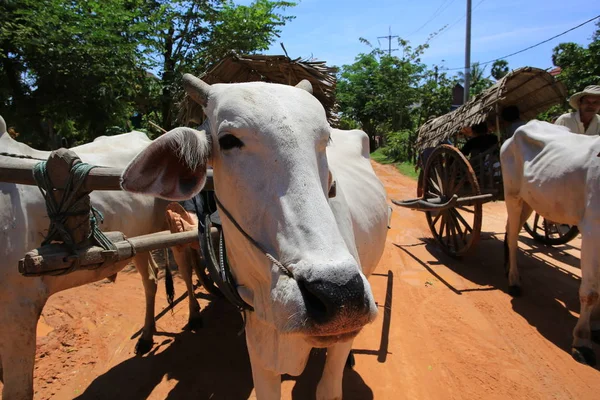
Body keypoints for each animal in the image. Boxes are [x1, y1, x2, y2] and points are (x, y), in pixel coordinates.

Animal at [502, 120, 600, 368]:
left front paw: (596, 326)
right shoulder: (593, 228)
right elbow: (591, 291)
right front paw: (582, 341)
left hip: (530, 200)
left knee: (509, 230)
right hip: (513, 195)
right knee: (513, 239)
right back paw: (513, 280)